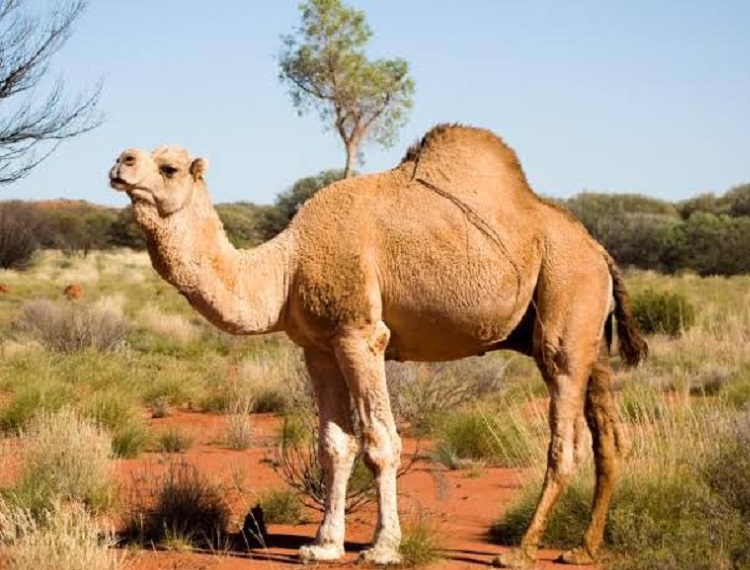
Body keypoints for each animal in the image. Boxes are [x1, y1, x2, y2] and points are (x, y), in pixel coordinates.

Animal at [108, 124, 648, 564]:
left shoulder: (359, 334)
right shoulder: (318, 347)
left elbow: (380, 440)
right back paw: (583, 548)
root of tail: (600, 251)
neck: (286, 266)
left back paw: (522, 550)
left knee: (565, 439)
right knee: (609, 438)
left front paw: (383, 547)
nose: (120, 162)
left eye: (169, 167)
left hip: (566, 299)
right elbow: (334, 444)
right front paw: (323, 545)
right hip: (590, 337)